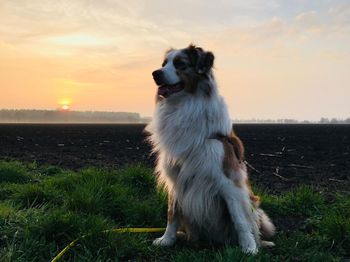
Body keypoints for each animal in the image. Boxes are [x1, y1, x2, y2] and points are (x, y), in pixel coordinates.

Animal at [144, 44, 274, 254]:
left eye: (180, 64)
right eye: (163, 64)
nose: (155, 73)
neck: (184, 105)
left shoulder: (229, 181)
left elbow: (239, 219)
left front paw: (249, 248)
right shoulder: (176, 177)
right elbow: (172, 213)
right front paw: (167, 239)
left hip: (254, 204)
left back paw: (260, 243)